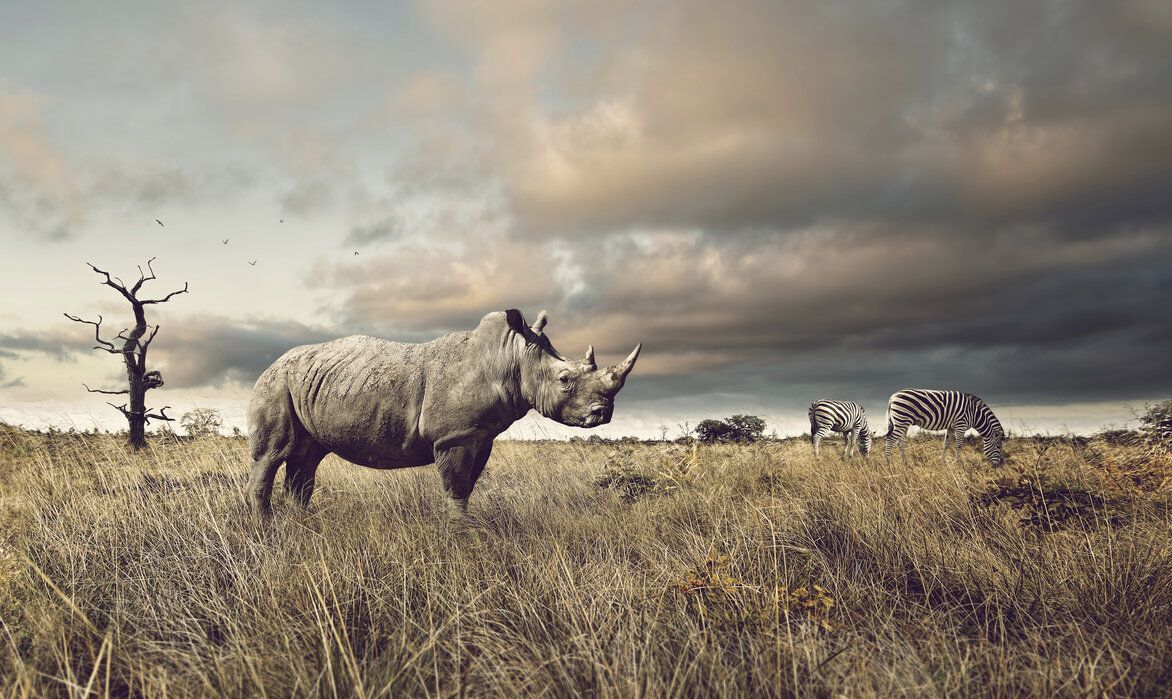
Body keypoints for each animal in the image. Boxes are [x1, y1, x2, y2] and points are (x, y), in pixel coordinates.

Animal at [247, 309, 641, 518]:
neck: (507, 358)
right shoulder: (454, 436)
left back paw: (302, 526)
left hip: (305, 384)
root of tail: (270, 365)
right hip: (275, 383)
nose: (603, 413)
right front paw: (461, 539)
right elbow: (455, 490)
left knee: (307, 457)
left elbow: (466, 489)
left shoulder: (479, 436)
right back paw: (266, 529)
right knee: (274, 453)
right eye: (564, 380)